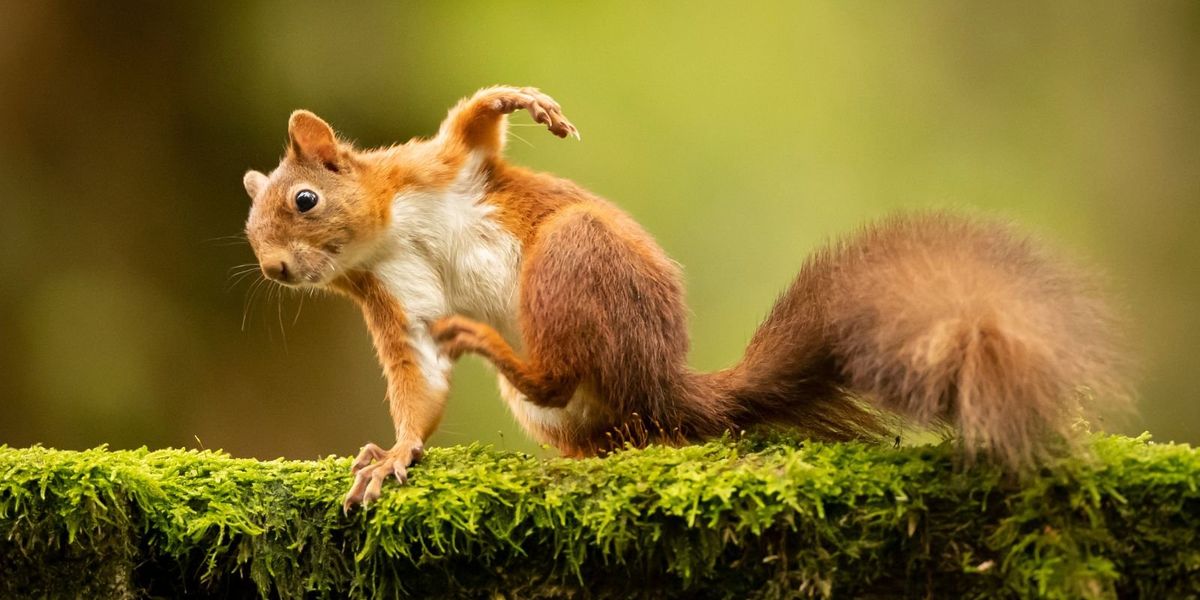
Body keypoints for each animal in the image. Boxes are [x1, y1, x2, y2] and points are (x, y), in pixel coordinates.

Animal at [240, 86, 1130, 510]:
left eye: (304, 201)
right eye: (250, 232)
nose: (277, 270)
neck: (384, 235)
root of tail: (664, 382)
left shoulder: (435, 167)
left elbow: (473, 127)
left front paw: (522, 102)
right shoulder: (390, 301)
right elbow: (418, 384)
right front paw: (393, 455)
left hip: (573, 256)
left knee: (558, 375)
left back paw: (495, 344)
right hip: (588, 407)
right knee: (600, 421)